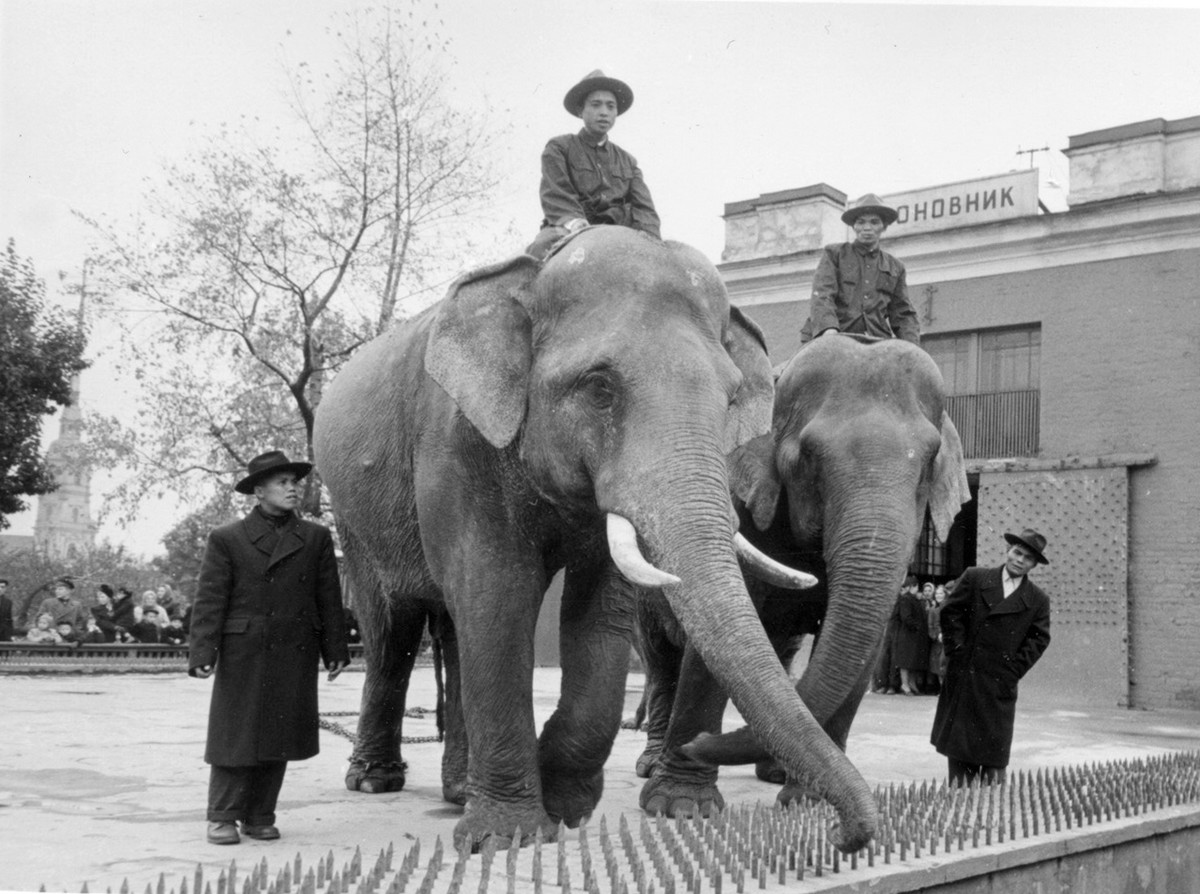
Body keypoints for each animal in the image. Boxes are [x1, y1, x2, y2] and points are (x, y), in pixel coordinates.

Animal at [314, 224, 883, 849]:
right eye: (599, 387)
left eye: (731, 398)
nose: (845, 836)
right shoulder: (455, 441)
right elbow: (498, 592)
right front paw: (508, 838)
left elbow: (600, 607)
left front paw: (565, 801)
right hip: (352, 513)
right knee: (391, 631)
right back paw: (375, 781)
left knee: (454, 630)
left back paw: (460, 792)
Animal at [638, 331, 974, 811]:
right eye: (809, 457)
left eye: (929, 463)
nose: (697, 744)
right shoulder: (741, 504)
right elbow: (718, 638)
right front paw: (681, 807)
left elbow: (865, 649)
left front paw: (807, 801)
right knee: (661, 660)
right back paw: (651, 763)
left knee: (779, 651)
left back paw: (776, 772)